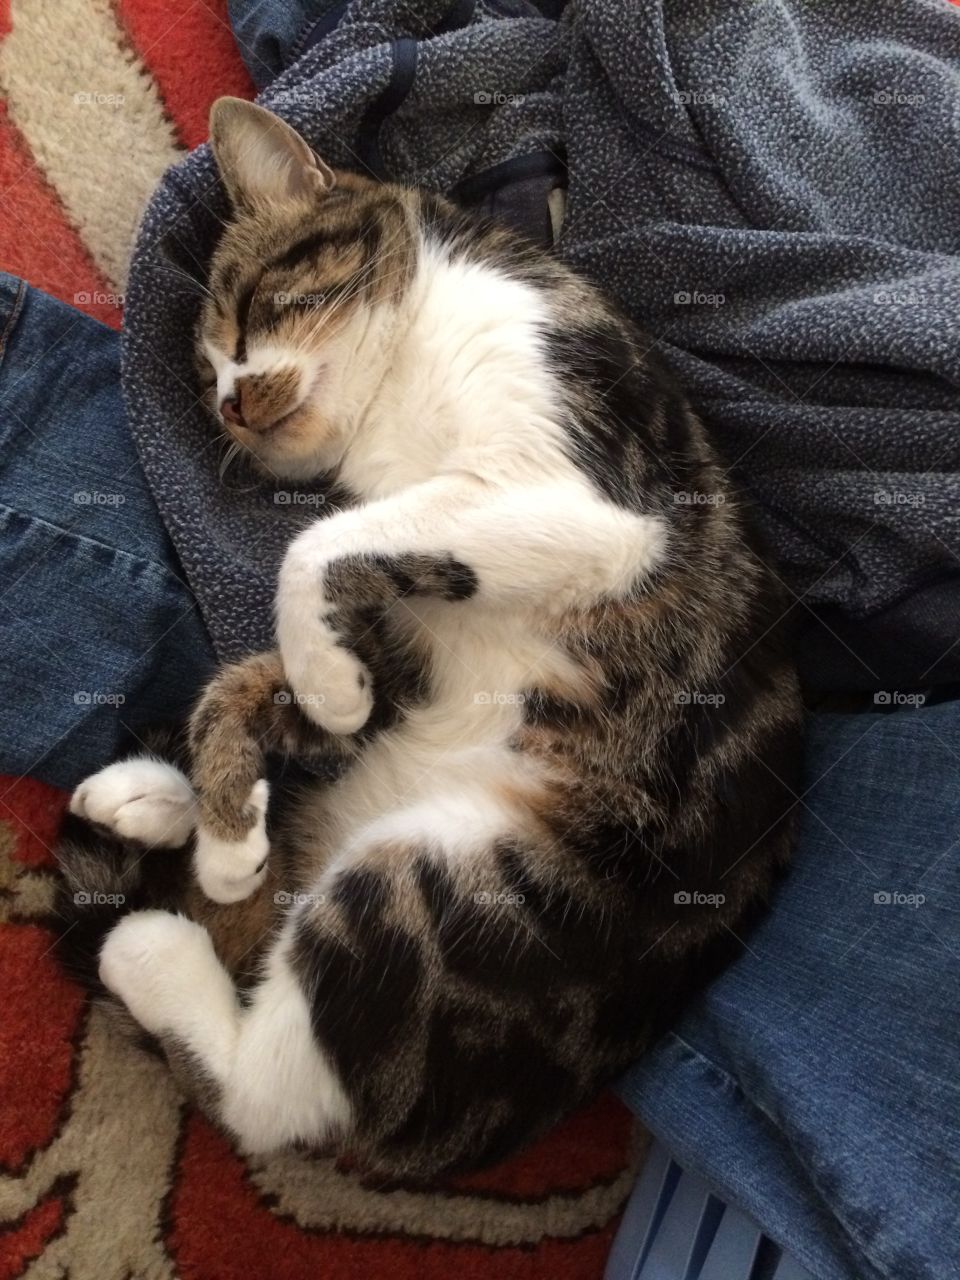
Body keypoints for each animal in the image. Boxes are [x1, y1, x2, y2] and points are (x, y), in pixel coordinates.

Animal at [52, 97, 803, 1177]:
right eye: (203, 376)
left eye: (251, 313)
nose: (230, 403)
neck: (396, 407)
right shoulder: (405, 625)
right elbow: (270, 663)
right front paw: (236, 812)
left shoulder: (590, 512)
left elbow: (308, 551)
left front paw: (309, 699)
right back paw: (157, 804)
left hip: (442, 900)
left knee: (266, 1097)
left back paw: (151, 938)